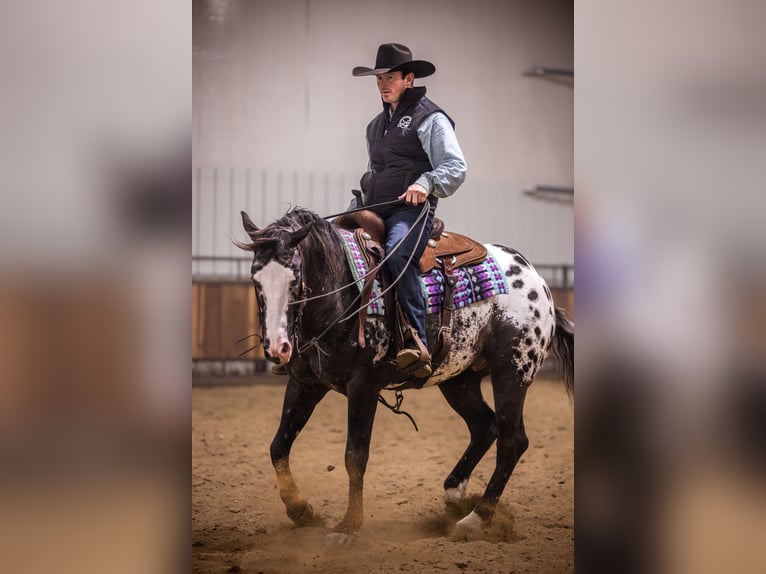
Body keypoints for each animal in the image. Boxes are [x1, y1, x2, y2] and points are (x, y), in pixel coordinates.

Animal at [237, 206, 573, 544]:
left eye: (295, 278)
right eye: (256, 278)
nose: (277, 347)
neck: (341, 292)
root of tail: (540, 285)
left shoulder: (364, 387)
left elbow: (355, 456)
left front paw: (347, 528)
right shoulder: (305, 384)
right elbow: (279, 446)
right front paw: (302, 511)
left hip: (512, 372)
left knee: (511, 441)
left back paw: (474, 520)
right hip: (459, 380)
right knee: (485, 427)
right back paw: (455, 497)